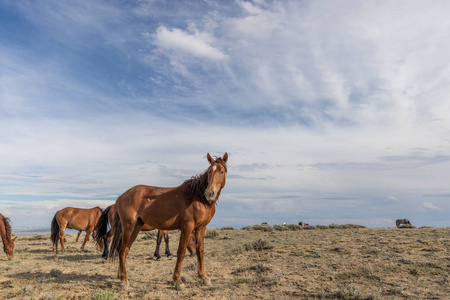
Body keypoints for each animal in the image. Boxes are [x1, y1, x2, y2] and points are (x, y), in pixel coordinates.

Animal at [105, 154, 227, 290]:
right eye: (209, 171)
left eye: (221, 171)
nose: (209, 193)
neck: (197, 198)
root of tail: (120, 198)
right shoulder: (187, 227)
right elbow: (181, 251)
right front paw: (178, 281)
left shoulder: (201, 227)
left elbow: (200, 251)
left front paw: (204, 277)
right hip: (128, 227)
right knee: (121, 250)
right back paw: (125, 281)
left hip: (135, 227)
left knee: (124, 250)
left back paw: (121, 278)